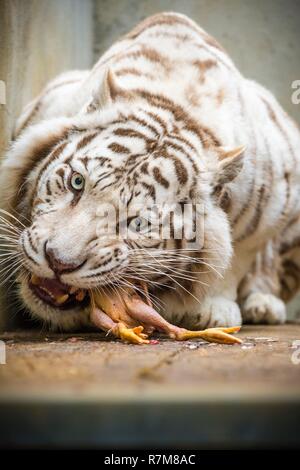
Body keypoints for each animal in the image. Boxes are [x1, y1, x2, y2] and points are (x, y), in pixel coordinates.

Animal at [0, 12, 300, 332]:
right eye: (76, 182)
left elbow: (237, 256)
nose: (58, 262)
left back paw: (263, 305)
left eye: (138, 224)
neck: (179, 106)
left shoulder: (271, 205)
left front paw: (214, 309)